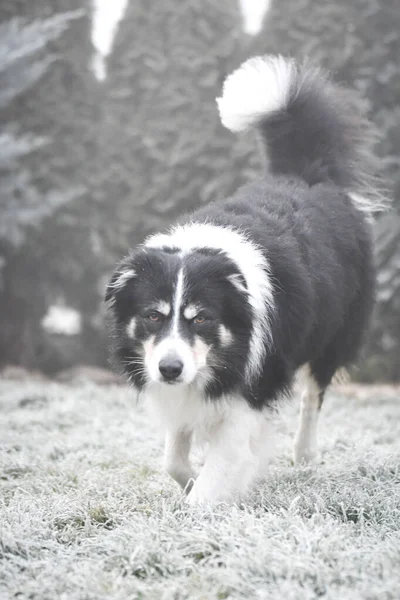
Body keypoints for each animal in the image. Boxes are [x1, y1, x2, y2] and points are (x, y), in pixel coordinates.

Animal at [105, 56, 384, 506]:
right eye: (152, 316)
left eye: (201, 318)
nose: (169, 369)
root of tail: (307, 175)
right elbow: (173, 457)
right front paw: (191, 477)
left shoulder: (253, 389)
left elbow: (222, 463)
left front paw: (205, 501)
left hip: (334, 332)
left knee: (313, 394)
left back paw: (305, 454)